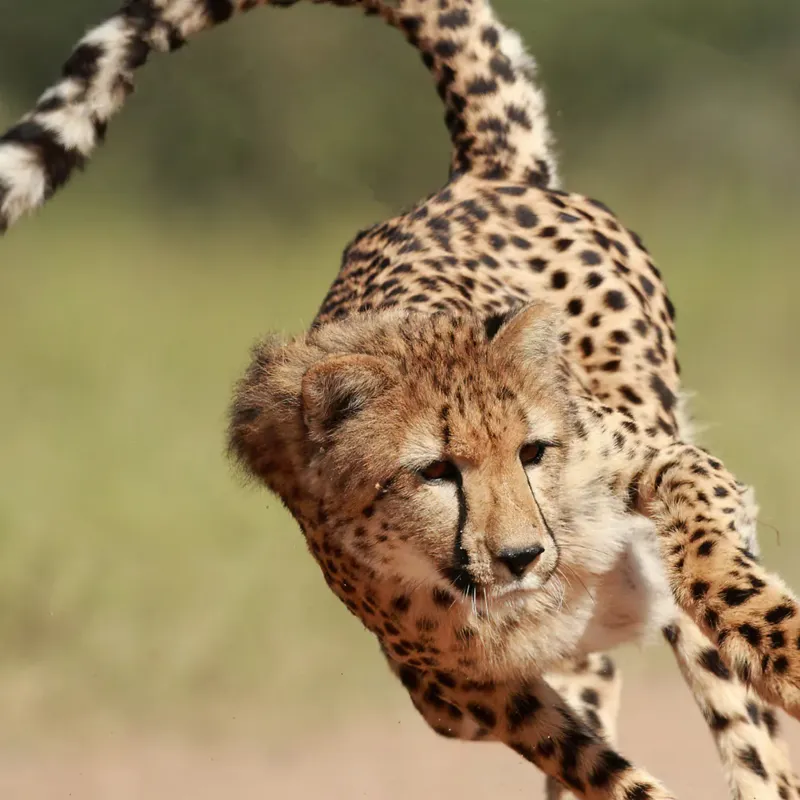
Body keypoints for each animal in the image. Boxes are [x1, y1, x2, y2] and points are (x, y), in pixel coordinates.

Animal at [2, 0, 800, 797]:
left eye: (533, 452)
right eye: (435, 472)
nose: (521, 556)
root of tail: (475, 176)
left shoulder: (669, 469)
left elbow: (715, 564)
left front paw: (781, 649)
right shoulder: (461, 687)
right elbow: (597, 766)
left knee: (737, 716)